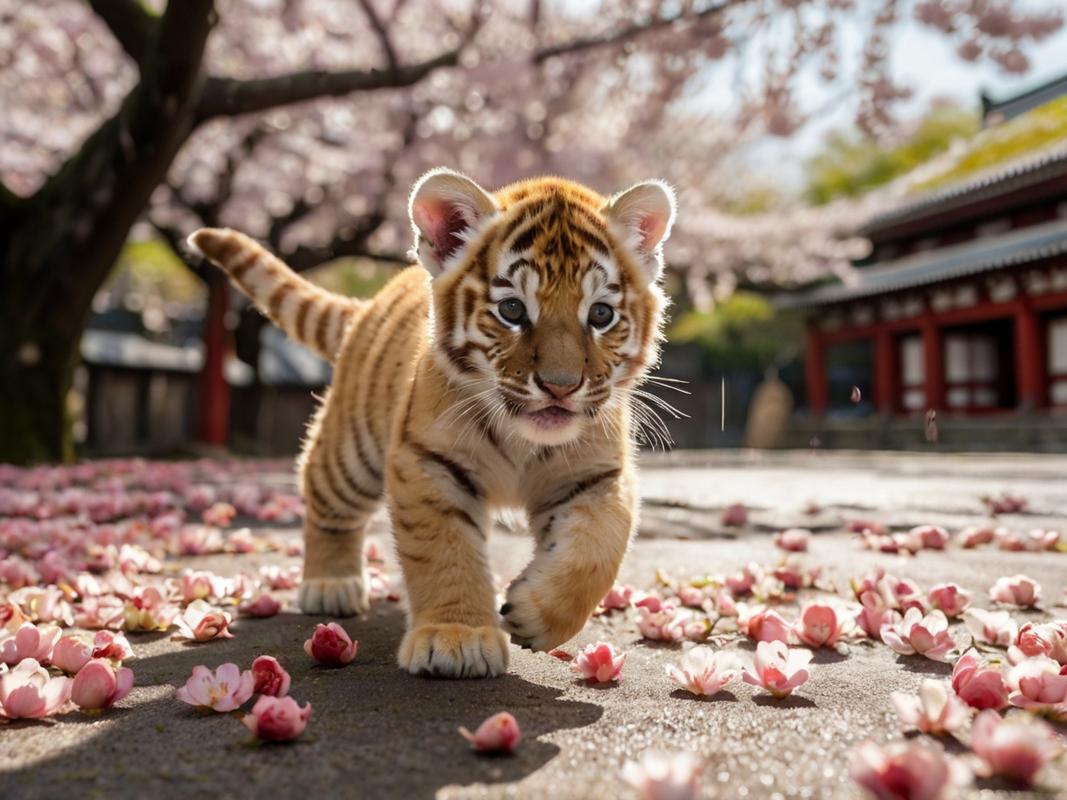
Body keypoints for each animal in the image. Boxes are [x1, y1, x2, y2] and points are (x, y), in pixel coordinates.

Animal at [188, 167, 675, 678]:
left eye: (600, 314)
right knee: (323, 493)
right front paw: (456, 639)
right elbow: (445, 550)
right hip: (351, 454)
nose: (560, 387)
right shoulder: (429, 462)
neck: (523, 440)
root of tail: (369, 304)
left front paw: (534, 612)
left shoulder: (597, 476)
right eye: (512, 310)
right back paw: (331, 585)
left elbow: (599, 548)